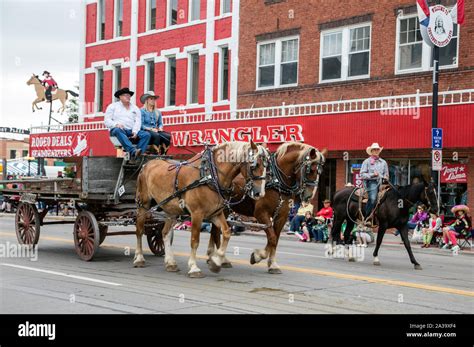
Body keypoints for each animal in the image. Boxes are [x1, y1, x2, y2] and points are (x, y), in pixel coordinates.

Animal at [133, 140, 268, 278]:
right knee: (139, 230)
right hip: (143, 205)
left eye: (267, 166)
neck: (210, 175)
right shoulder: (197, 214)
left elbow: (226, 233)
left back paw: (170, 263)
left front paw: (216, 262)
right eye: (254, 165)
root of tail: (147, 164)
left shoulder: (215, 213)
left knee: (165, 233)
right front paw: (194, 268)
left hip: (171, 209)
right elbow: (195, 240)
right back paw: (139, 258)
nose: (260, 193)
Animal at [209, 143, 328, 276]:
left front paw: (272, 264)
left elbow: (275, 240)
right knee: (216, 232)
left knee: (214, 231)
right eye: (311, 169)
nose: (309, 196)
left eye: (321, 171)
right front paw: (258, 256)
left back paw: (212, 256)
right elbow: (272, 238)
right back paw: (221, 259)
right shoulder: (261, 214)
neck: (277, 181)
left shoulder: (282, 216)